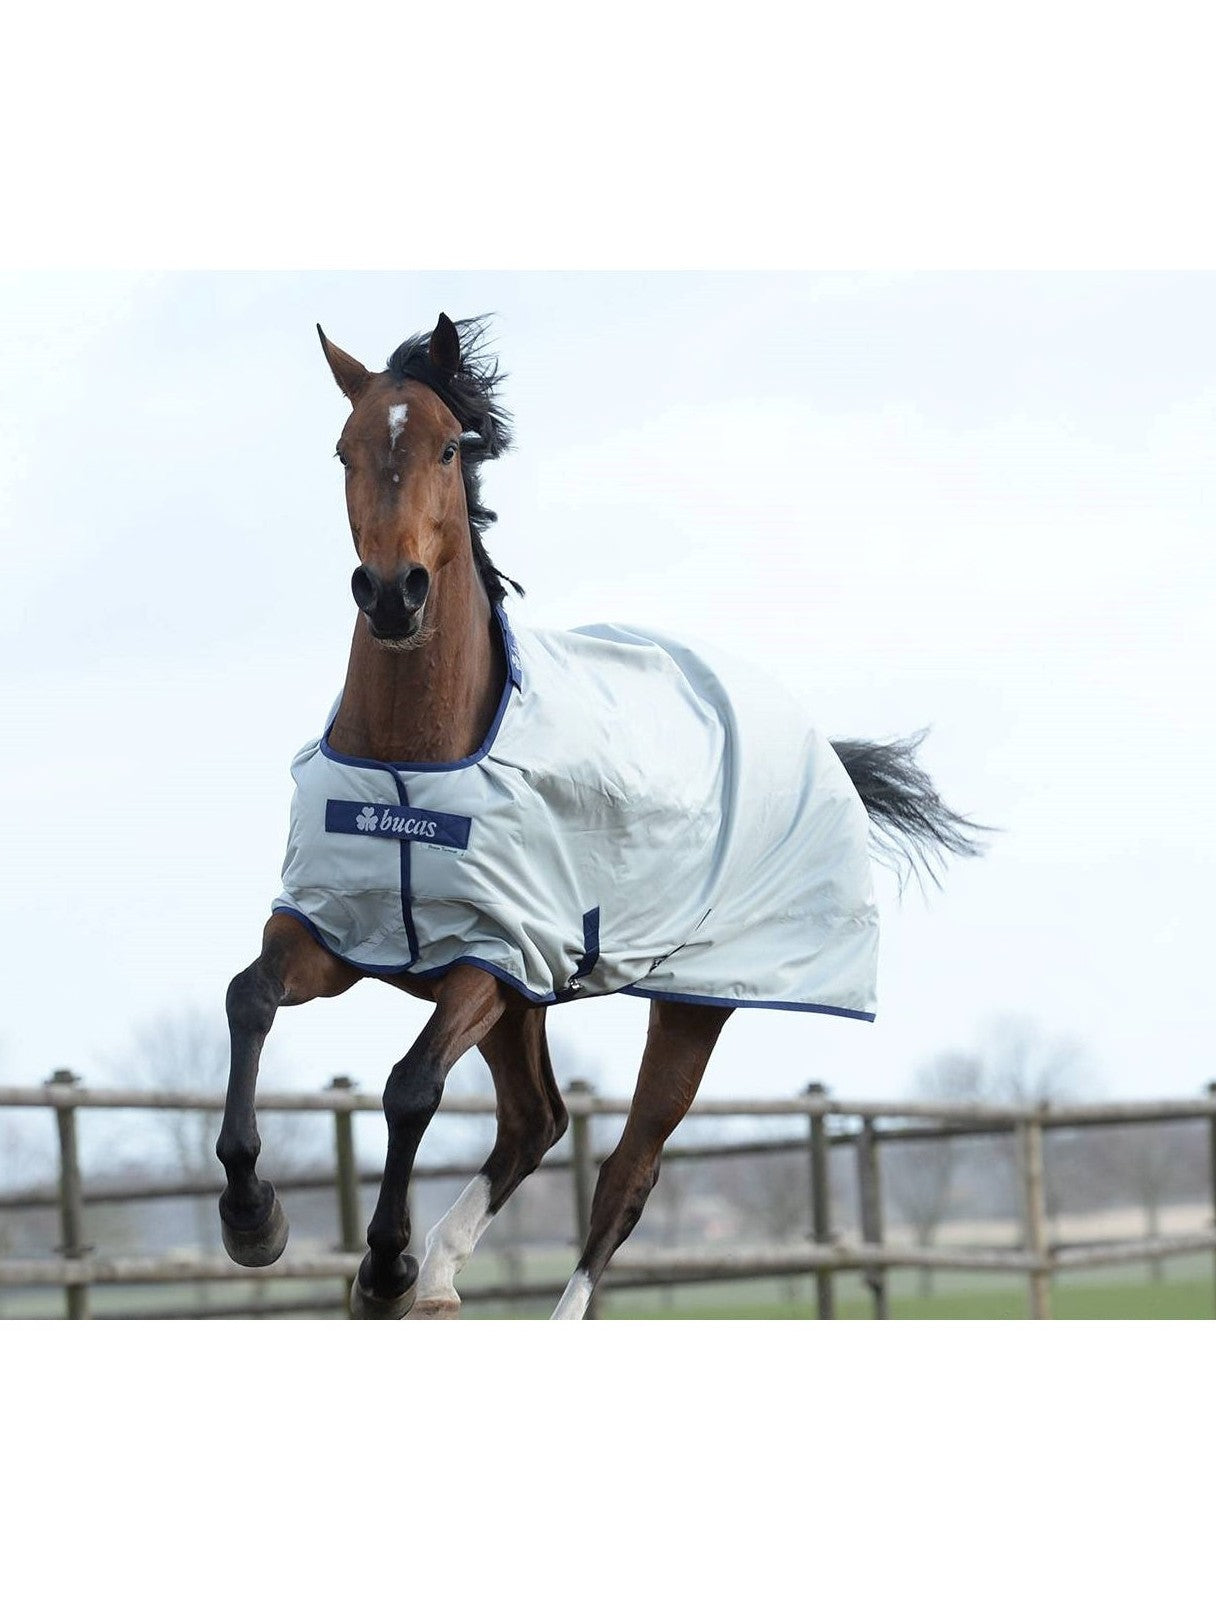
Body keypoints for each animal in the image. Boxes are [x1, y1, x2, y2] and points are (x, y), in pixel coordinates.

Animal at [214, 312, 983, 1320]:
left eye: (450, 447)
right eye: (344, 449)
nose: (392, 593)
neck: (414, 763)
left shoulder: (491, 959)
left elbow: (411, 1085)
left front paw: (383, 1268)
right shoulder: (341, 932)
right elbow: (249, 997)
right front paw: (253, 1215)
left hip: (690, 1005)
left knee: (623, 1172)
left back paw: (475, 1283)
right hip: (530, 1004)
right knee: (536, 1120)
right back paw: (444, 1271)